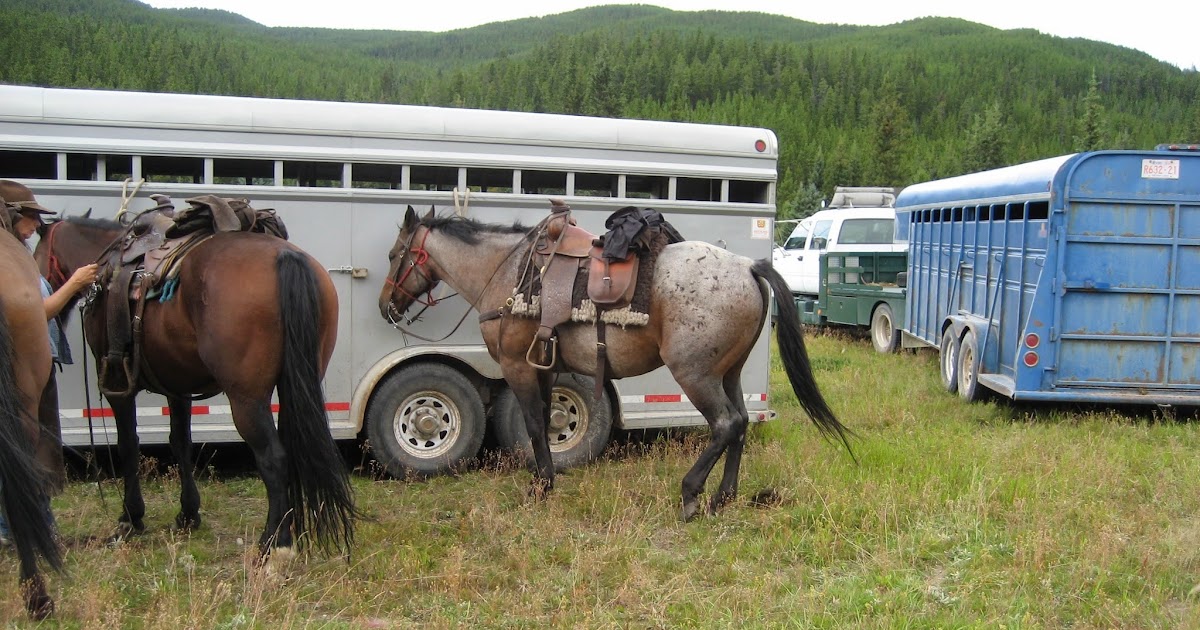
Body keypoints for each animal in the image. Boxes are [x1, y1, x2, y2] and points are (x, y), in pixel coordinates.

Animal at [34, 213, 355, 557]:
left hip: (247, 399)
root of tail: (285, 256)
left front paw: (130, 518)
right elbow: (181, 441)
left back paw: (274, 541)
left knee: (274, 458)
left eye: (35, 252)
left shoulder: (119, 383)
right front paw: (188, 514)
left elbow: (128, 445)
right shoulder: (177, 385)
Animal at [379, 206, 854, 521]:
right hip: (729, 374)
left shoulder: (518, 366)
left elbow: (532, 424)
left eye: (393, 254)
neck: (509, 273)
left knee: (726, 424)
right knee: (740, 425)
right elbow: (545, 423)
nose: (386, 306)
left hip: (695, 374)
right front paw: (548, 478)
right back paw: (723, 498)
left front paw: (540, 486)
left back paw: (691, 495)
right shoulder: (546, 367)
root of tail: (748, 266)